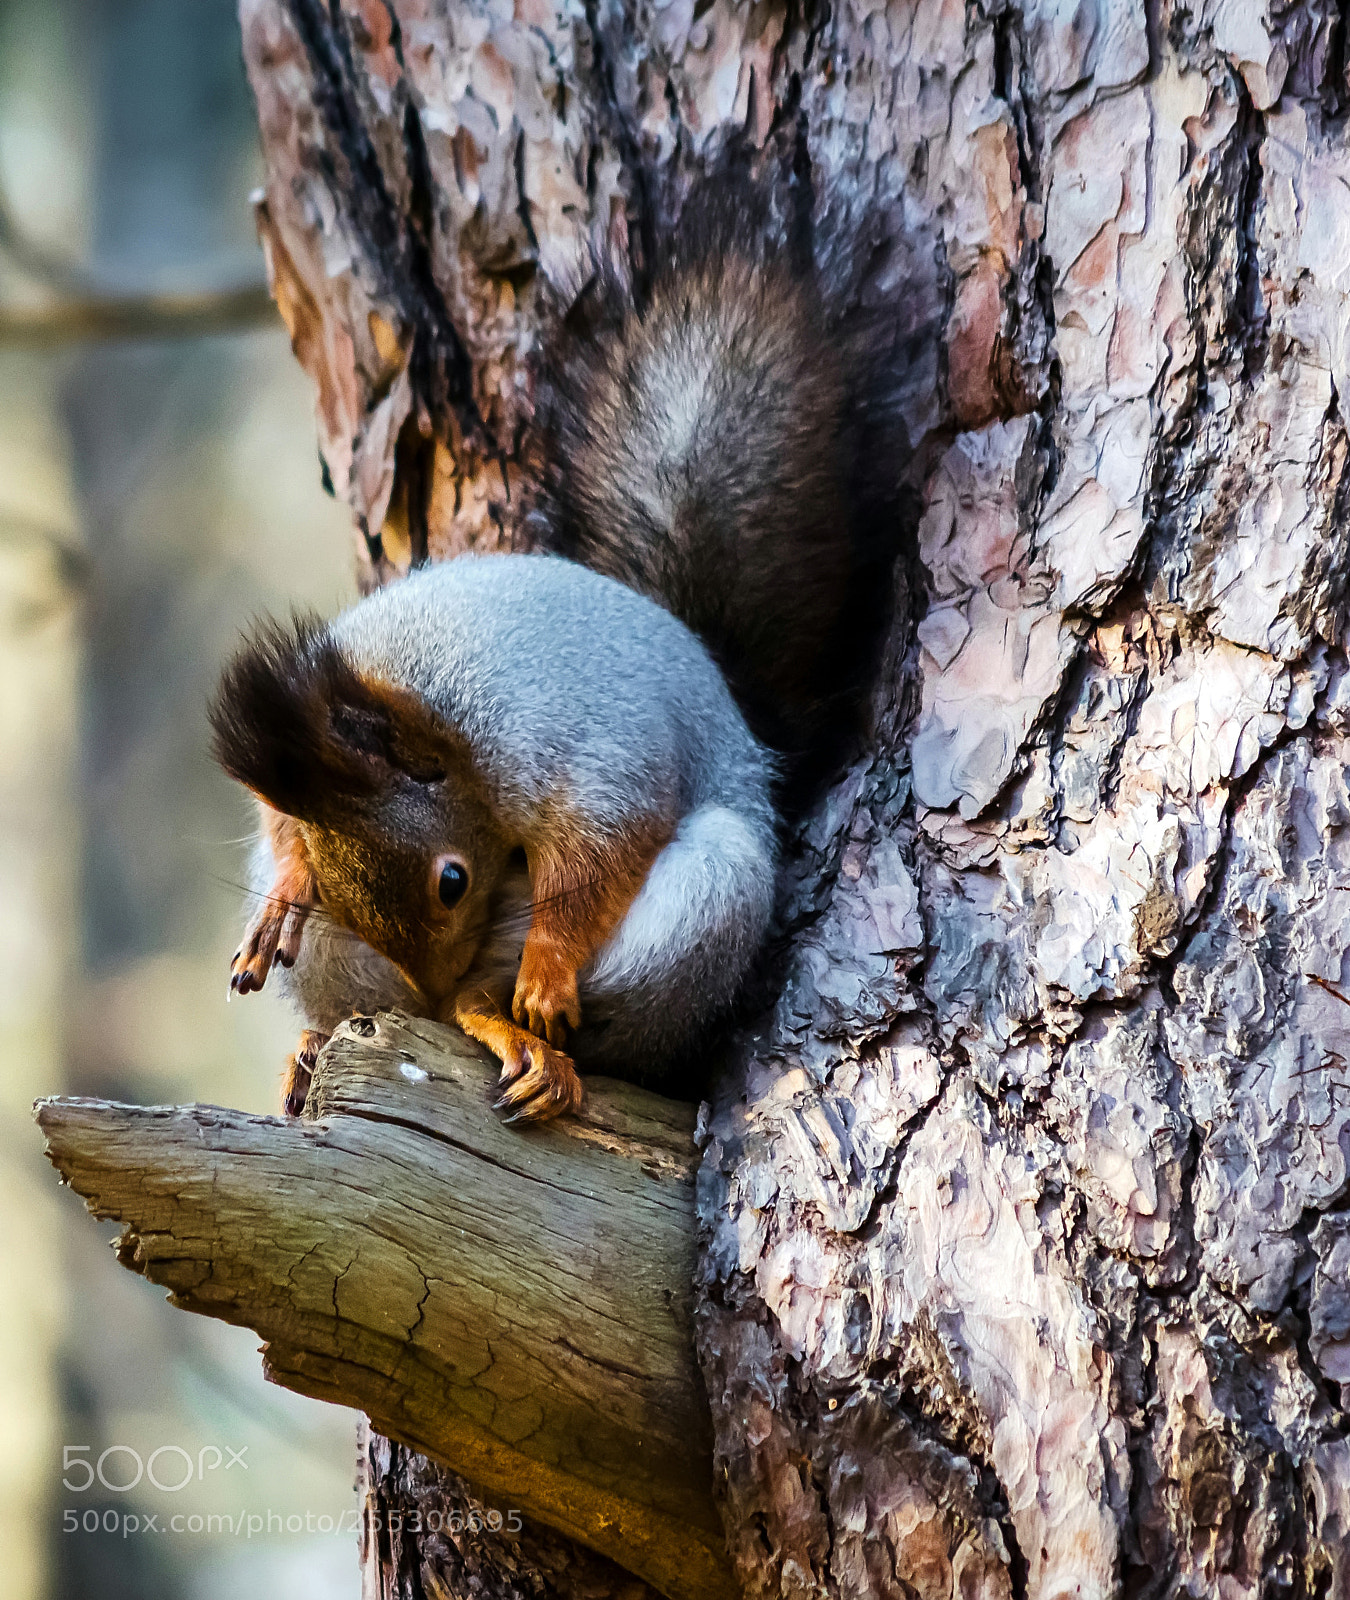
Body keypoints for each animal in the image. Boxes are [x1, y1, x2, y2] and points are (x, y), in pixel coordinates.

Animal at [210, 176, 904, 1123]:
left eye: (452, 882)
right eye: (336, 882)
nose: (427, 978)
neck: (412, 700)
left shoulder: (583, 745)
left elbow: (603, 846)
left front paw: (546, 967)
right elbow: (283, 821)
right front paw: (285, 887)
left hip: (702, 906)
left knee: (522, 997)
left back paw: (512, 1025)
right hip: (341, 965)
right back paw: (331, 1037)